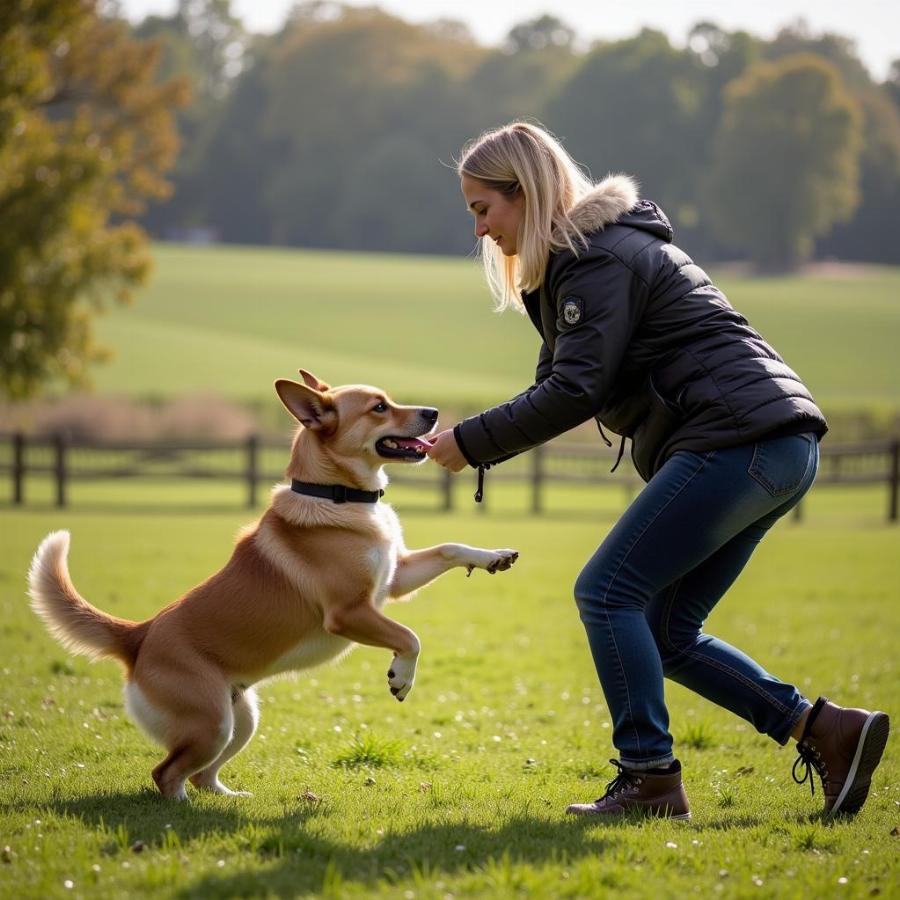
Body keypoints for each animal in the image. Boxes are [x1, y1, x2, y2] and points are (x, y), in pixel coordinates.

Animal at [28, 372, 516, 800]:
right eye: (379, 407)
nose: (434, 413)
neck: (337, 496)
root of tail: (138, 635)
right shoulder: (350, 612)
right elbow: (410, 638)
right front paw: (401, 677)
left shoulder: (394, 581)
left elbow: (450, 548)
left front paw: (493, 557)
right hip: (211, 724)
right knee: (165, 774)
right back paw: (183, 809)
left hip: (240, 721)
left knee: (200, 775)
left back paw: (231, 798)